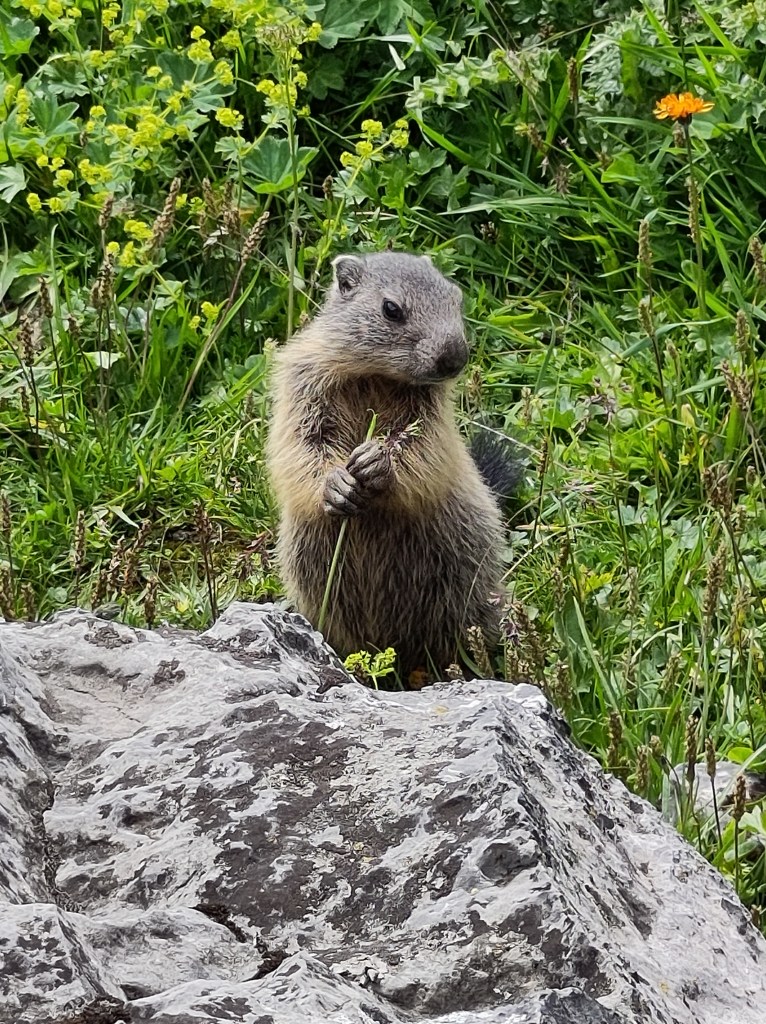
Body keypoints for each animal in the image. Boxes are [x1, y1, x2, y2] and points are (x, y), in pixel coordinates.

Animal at [266, 251, 519, 681]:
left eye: (456, 298)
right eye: (391, 309)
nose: (455, 356)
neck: (375, 376)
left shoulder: (430, 408)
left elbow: (425, 446)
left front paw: (377, 462)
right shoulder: (304, 378)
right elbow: (301, 439)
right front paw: (336, 483)